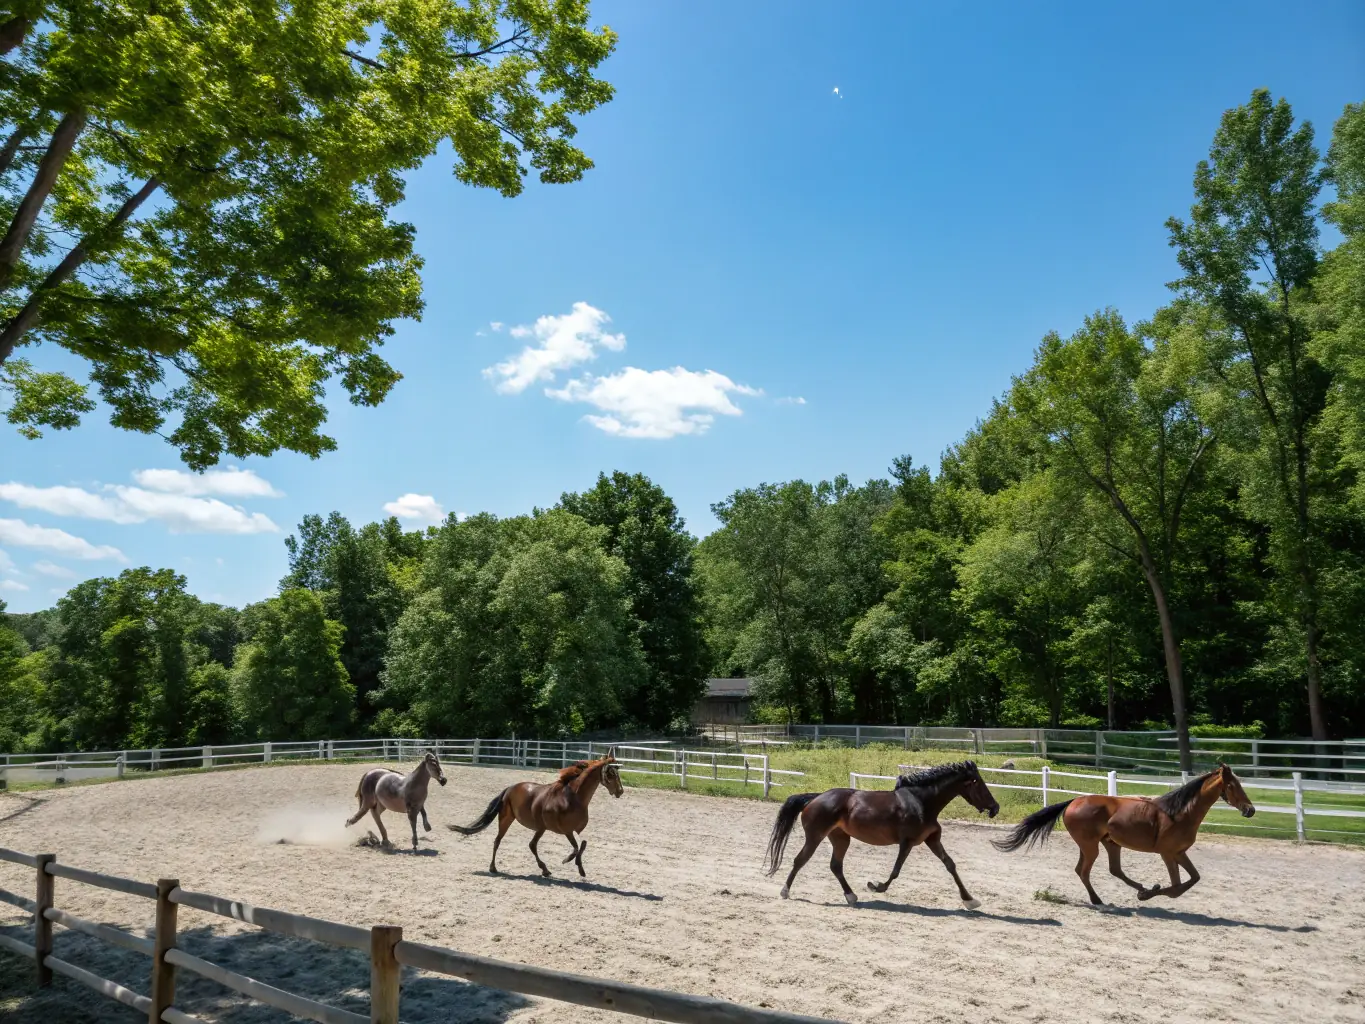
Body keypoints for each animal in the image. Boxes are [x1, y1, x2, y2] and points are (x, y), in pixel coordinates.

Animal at [448, 754, 623, 877]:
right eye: (610, 774)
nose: (620, 791)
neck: (573, 797)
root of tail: (509, 788)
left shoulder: (576, 830)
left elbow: (583, 844)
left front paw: (581, 870)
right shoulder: (566, 830)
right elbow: (575, 848)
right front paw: (566, 860)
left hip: (539, 827)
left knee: (529, 844)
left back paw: (543, 870)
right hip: (510, 820)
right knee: (502, 841)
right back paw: (495, 868)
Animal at [763, 761, 1001, 909]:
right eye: (977, 782)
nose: (995, 807)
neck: (922, 802)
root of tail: (815, 798)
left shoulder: (932, 840)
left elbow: (950, 865)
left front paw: (970, 901)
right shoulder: (907, 842)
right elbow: (895, 871)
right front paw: (876, 886)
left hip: (840, 838)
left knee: (835, 866)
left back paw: (851, 897)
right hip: (815, 837)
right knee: (800, 860)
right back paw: (785, 892)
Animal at [992, 761, 1255, 904]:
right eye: (1232, 785)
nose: (1250, 810)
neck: (1180, 812)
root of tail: (1073, 802)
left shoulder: (1180, 853)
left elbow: (1193, 879)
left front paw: (1149, 891)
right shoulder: (1168, 853)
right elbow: (1177, 886)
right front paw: (1149, 894)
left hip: (1110, 843)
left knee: (1111, 870)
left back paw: (1135, 889)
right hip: (1091, 846)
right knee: (1084, 871)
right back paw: (1100, 899)